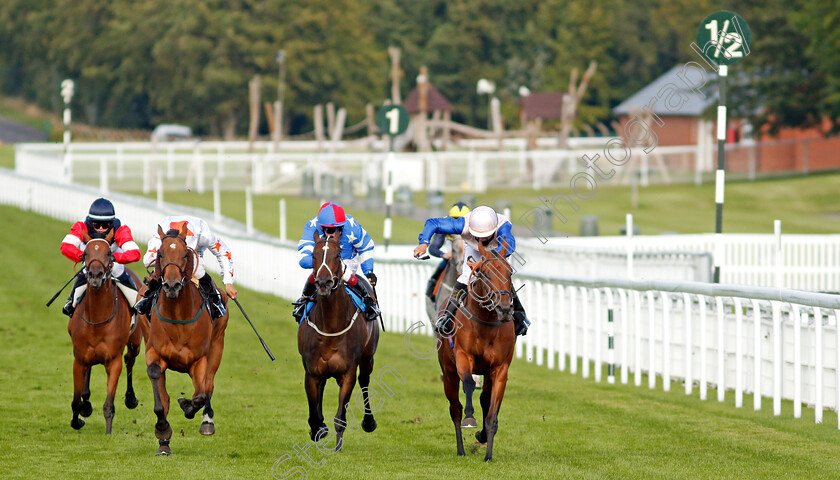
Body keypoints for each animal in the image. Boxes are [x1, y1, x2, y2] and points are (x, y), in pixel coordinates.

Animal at [67, 231, 143, 434]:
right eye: (85, 254)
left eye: (109, 253)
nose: (95, 274)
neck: (97, 319)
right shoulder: (79, 359)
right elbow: (76, 400)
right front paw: (77, 420)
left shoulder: (113, 361)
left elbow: (109, 404)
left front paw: (108, 434)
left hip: (135, 342)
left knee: (130, 360)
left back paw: (130, 398)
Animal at [144, 223, 228, 456]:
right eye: (160, 254)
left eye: (184, 254)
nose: (172, 285)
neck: (178, 316)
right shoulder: (154, 352)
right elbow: (160, 396)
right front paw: (163, 432)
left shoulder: (198, 360)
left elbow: (200, 395)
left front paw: (187, 405)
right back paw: (164, 444)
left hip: (217, 346)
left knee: (209, 385)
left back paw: (206, 421)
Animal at [298, 232, 380, 450]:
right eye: (314, 255)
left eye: (337, 255)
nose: (324, 283)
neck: (331, 327)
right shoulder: (311, 371)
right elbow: (314, 412)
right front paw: (318, 429)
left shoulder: (348, 372)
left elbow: (340, 417)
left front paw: (337, 449)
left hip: (368, 357)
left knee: (365, 380)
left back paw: (369, 421)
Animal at [436, 240, 516, 462]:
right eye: (486, 273)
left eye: (509, 273)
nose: (504, 309)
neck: (486, 321)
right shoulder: (463, 357)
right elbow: (469, 384)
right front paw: (470, 419)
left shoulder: (500, 369)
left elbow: (491, 413)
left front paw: (487, 451)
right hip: (448, 372)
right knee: (455, 408)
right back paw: (461, 449)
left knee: (484, 399)